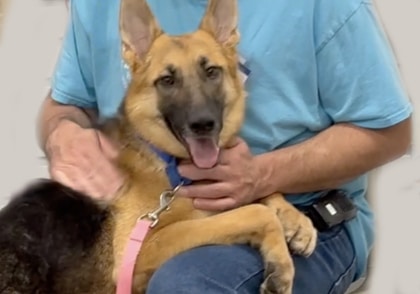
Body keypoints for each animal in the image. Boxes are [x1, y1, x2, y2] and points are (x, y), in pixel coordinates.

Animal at [0, 0, 316, 292]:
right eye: (167, 80)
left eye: (211, 72)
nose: (203, 124)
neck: (169, 164)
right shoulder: (145, 246)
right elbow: (253, 213)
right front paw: (281, 264)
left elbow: (263, 191)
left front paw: (295, 221)